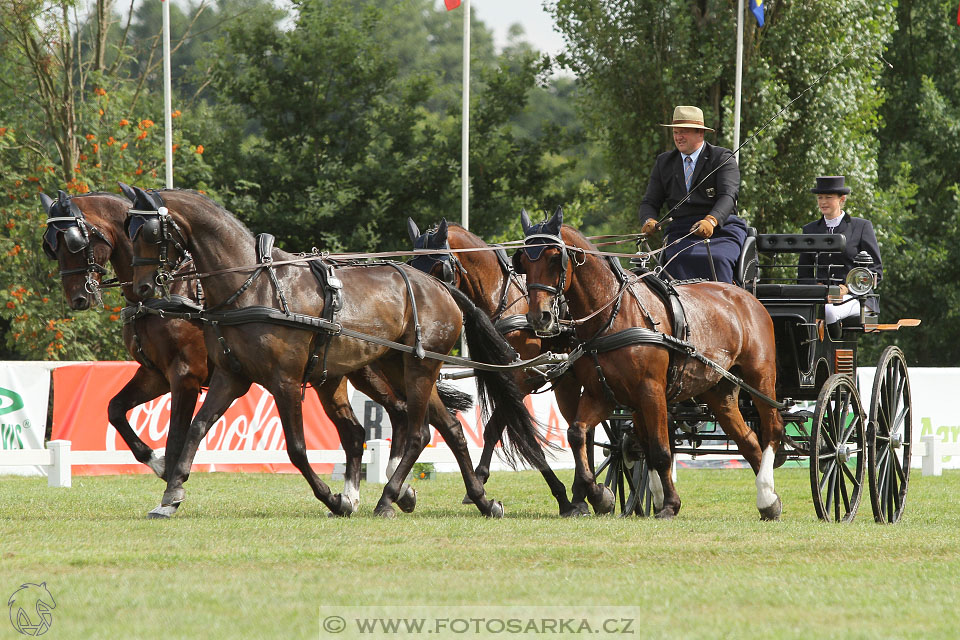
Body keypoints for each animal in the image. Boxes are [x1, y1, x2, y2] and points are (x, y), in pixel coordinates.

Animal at [125, 188, 548, 516]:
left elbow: (296, 449)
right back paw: (481, 500)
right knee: (450, 430)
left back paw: (388, 498)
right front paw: (171, 495)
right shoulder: (231, 376)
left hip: (418, 368)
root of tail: (442, 288)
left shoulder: (285, 381)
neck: (252, 284)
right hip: (399, 368)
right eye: (128, 230)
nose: (142, 288)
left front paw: (334, 499)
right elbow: (196, 429)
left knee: (417, 432)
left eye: (149, 231)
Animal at [406, 218, 584, 516]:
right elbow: (497, 427)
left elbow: (500, 427)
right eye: (412, 264)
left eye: (439, 268)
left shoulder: (522, 379)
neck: (505, 300)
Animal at [512, 210, 784, 520]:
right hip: (719, 391)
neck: (613, 313)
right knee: (748, 440)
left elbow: (661, 451)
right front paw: (600, 495)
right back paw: (769, 501)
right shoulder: (604, 395)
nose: (539, 317)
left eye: (554, 257)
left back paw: (767, 491)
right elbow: (581, 434)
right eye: (523, 262)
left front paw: (669, 504)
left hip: (760, 378)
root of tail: (747, 296)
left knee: (772, 429)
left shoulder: (651, 391)